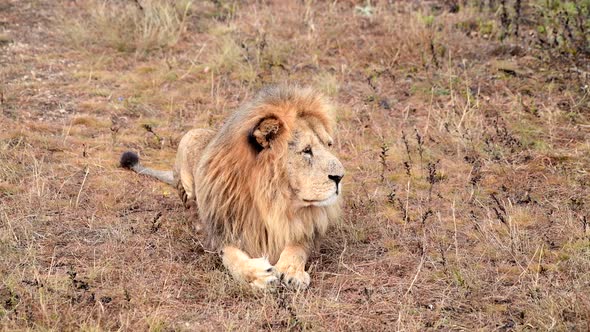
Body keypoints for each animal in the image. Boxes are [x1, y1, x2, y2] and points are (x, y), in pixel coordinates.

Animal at [120, 86, 344, 290]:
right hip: (190, 138)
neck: (274, 201)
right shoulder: (224, 232)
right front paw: (259, 275)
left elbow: (297, 248)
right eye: (306, 151)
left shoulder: (307, 229)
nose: (340, 177)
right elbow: (232, 258)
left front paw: (292, 272)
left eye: (329, 145)